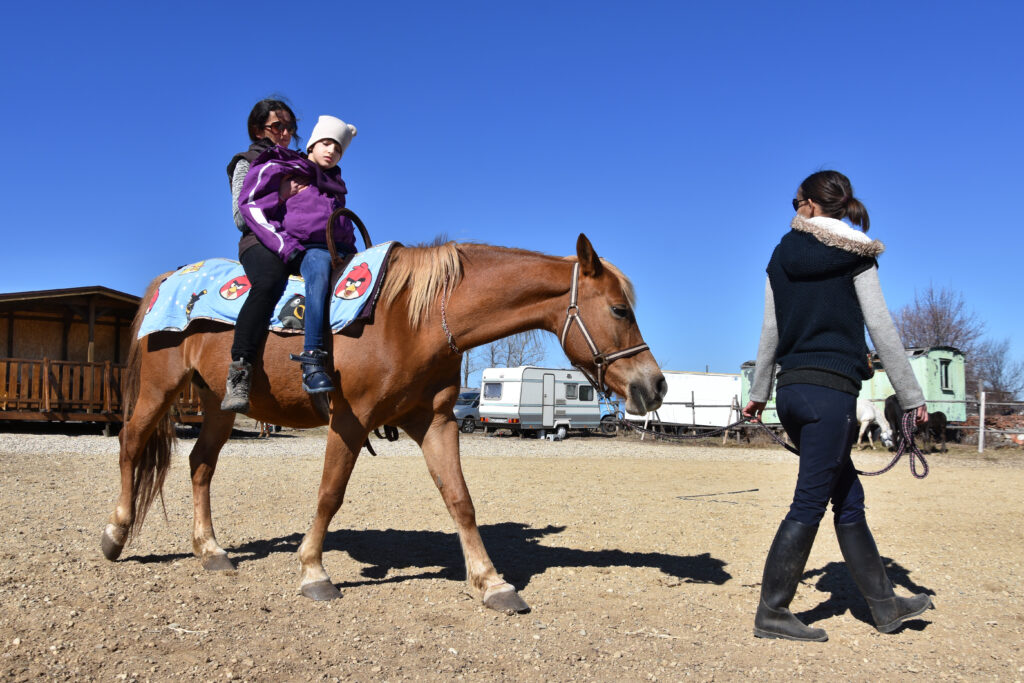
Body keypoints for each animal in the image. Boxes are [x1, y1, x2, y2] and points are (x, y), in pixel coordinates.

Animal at [101, 235, 663, 614]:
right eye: (619, 309)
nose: (655, 385)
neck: (414, 318)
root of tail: (168, 280)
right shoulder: (349, 422)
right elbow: (330, 494)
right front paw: (313, 572)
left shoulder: (435, 423)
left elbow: (460, 499)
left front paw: (491, 581)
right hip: (159, 391)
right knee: (130, 445)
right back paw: (115, 535)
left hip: (220, 404)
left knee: (200, 464)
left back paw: (211, 551)